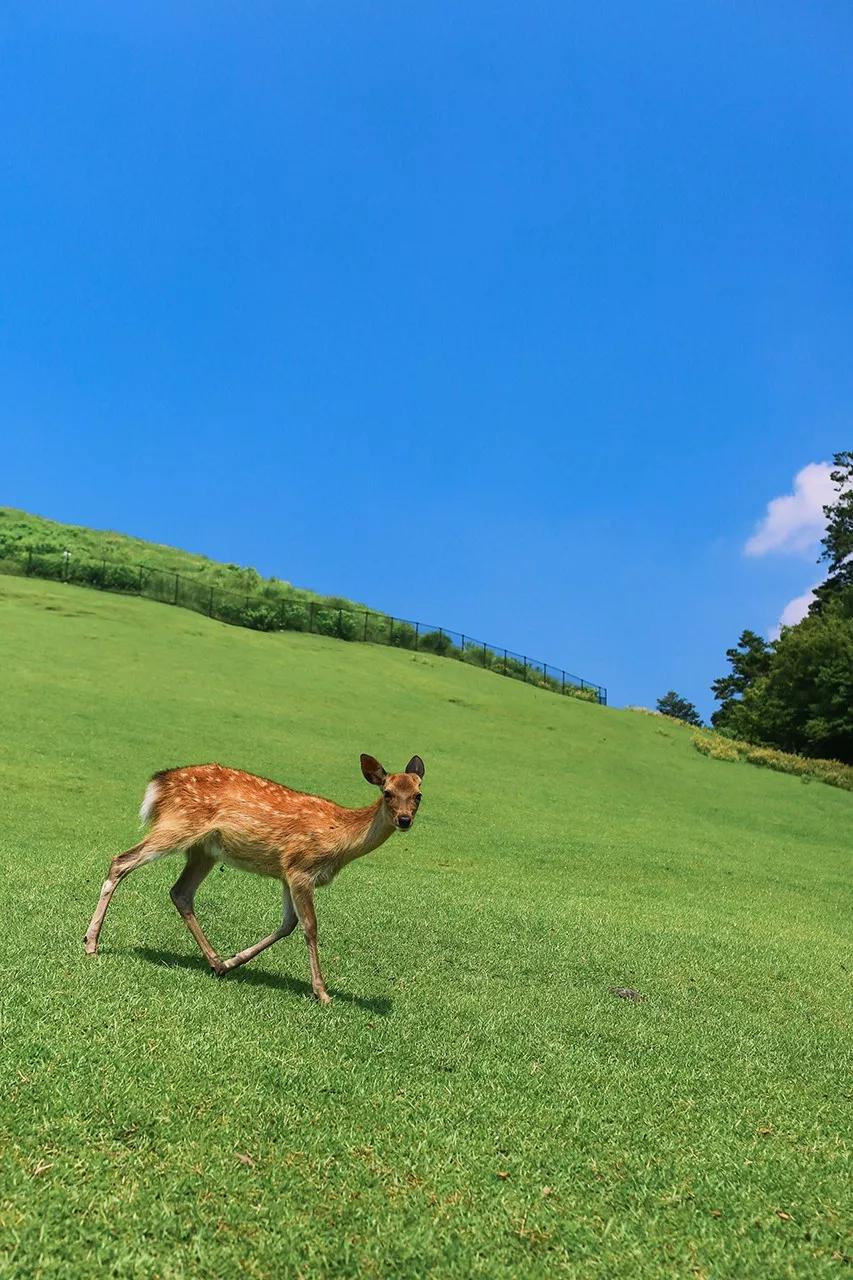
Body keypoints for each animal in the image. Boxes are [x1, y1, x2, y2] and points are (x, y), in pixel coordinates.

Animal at [83, 752, 422, 1003]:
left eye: (418, 795)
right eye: (387, 793)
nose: (404, 820)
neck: (339, 841)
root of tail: (159, 784)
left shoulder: (286, 873)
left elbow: (287, 925)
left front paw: (234, 961)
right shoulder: (301, 868)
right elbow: (310, 927)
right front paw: (323, 993)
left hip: (203, 850)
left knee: (180, 892)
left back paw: (216, 962)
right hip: (176, 826)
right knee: (120, 862)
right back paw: (91, 943)